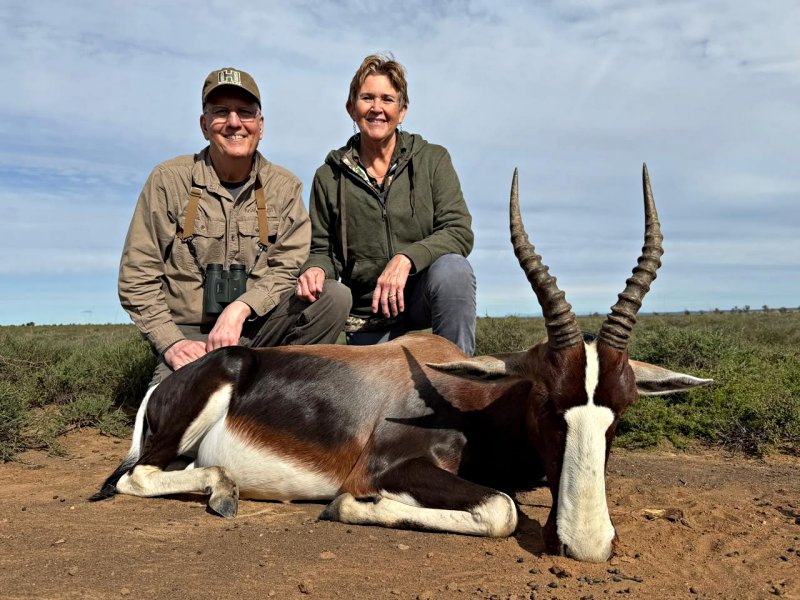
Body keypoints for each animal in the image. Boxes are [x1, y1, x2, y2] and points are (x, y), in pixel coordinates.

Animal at [92, 165, 711, 562]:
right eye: (545, 400)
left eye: (622, 409)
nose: (586, 546)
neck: (462, 395)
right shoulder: (387, 466)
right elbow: (502, 510)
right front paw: (349, 507)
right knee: (135, 477)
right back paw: (223, 491)